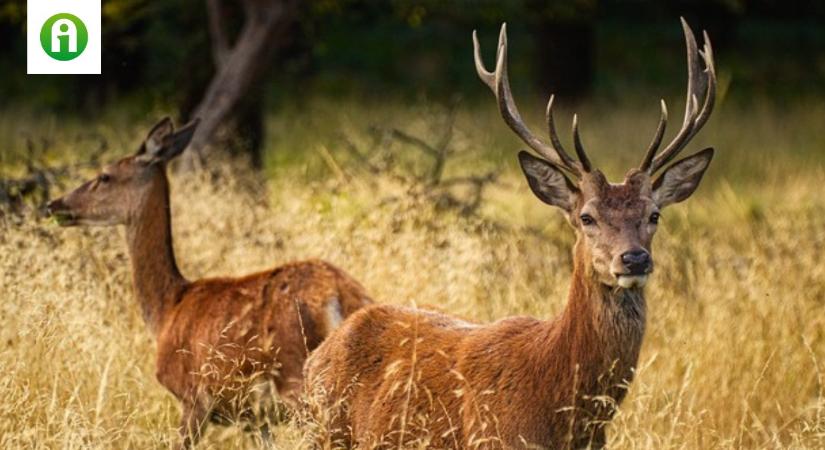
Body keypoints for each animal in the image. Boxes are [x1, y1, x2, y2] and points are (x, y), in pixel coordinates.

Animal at [46, 118, 372, 448]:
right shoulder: (255, 419)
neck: (167, 309)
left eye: (105, 175)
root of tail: (339, 295)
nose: (54, 204)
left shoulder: (193, 397)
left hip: (297, 378)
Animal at [302, 19, 716, 448]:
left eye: (654, 215)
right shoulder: (492, 437)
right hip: (324, 431)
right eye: (586, 217)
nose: (634, 258)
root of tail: (318, 355)